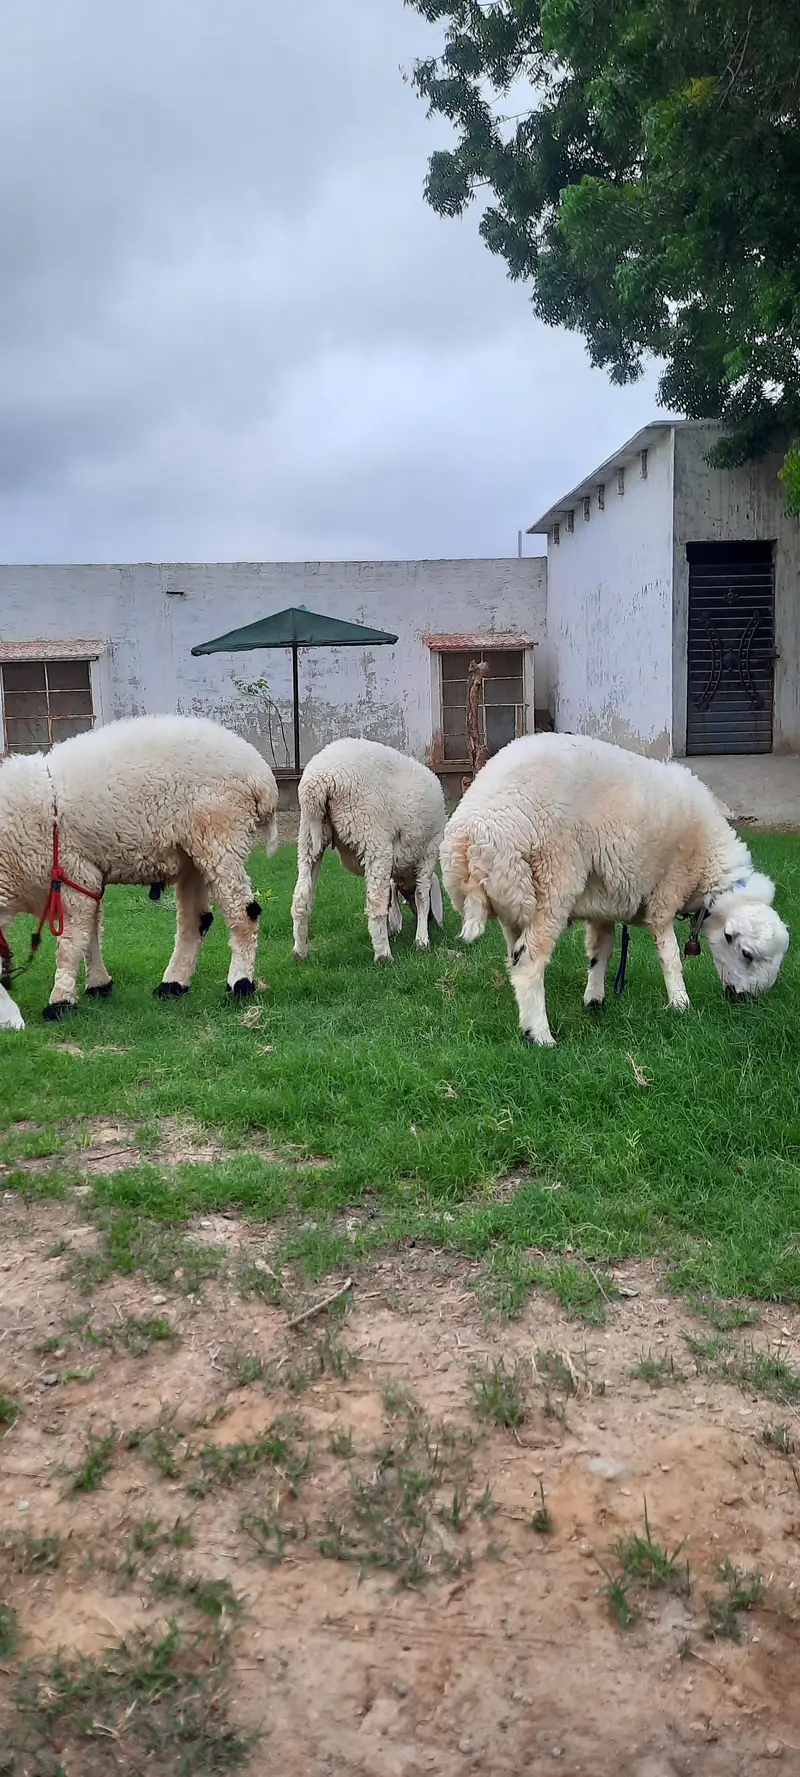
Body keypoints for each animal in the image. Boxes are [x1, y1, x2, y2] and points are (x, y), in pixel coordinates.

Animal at [0, 714, 279, 1020]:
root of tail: (261, 776)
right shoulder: (87, 878)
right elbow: (90, 933)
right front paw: (99, 984)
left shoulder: (74, 873)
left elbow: (71, 942)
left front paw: (60, 1001)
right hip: (192, 855)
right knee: (195, 921)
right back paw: (173, 985)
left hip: (221, 837)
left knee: (243, 913)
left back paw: (240, 984)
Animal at [291, 738, 446, 963]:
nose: (433, 921)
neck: (405, 872)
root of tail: (320, 780)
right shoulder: (430, 850)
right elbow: (422, 895)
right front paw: (421, 940)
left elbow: (390, 897)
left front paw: (394, 929)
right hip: (371, 833)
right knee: (375, 901)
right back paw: (383, 955)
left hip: (308, 838)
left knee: (301, 897)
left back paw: (299, 952)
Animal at [439, 732, 789, 1046]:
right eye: (747, 954)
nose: (745, 1001)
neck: (708, 869)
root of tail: (472, 834)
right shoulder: (666, 891)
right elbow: (670, 954)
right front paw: (680, 1003)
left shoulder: (603, 902)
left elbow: (601, 950)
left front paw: (595, 999)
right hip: (553, 880)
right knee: (529, 960)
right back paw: (539, 1035)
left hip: (514, 898)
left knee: (515, 955)